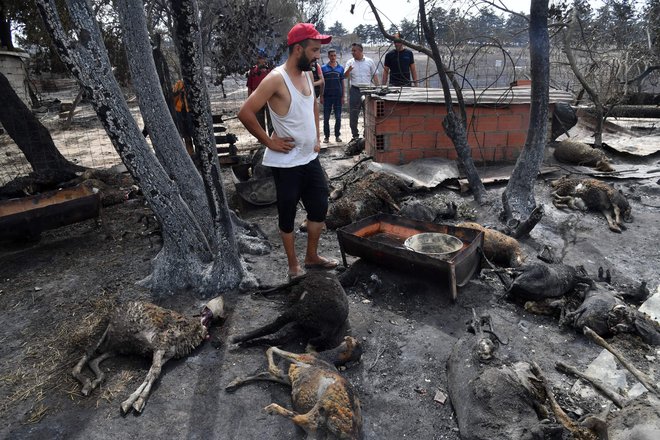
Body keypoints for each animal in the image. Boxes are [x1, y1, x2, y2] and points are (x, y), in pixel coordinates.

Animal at [72, 296, 226, 412]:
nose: (221, 298)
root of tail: (113, 316)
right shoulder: (161, 343)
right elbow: (155, 371)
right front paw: (133, 402)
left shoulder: (167, 352)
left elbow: (152, 372)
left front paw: (134, 401)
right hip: (117, 332)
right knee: (91, 349)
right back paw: (85, 381)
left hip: (121, 346)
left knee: (94, 359)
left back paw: (93, 381)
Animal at [224, 336, 364, 440]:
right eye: (357, 344)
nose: (348, 338)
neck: (328, 356)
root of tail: (350, 435)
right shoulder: (291, 378)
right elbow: (265, 374)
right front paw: (233, 383)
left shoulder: (302, 358)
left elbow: (272, 349)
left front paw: (274, 368)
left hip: (329, 396)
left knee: (309, 421)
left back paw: (272, 408)